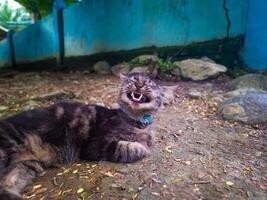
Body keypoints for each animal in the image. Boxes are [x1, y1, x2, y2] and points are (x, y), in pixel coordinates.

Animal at [0, 72, 170, 199]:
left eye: (149, 83)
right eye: (133, 79)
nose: (139, 84)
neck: (136, 122)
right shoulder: (95, 146)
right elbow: (133, 149)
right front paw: (142, 147)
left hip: (26, 167)